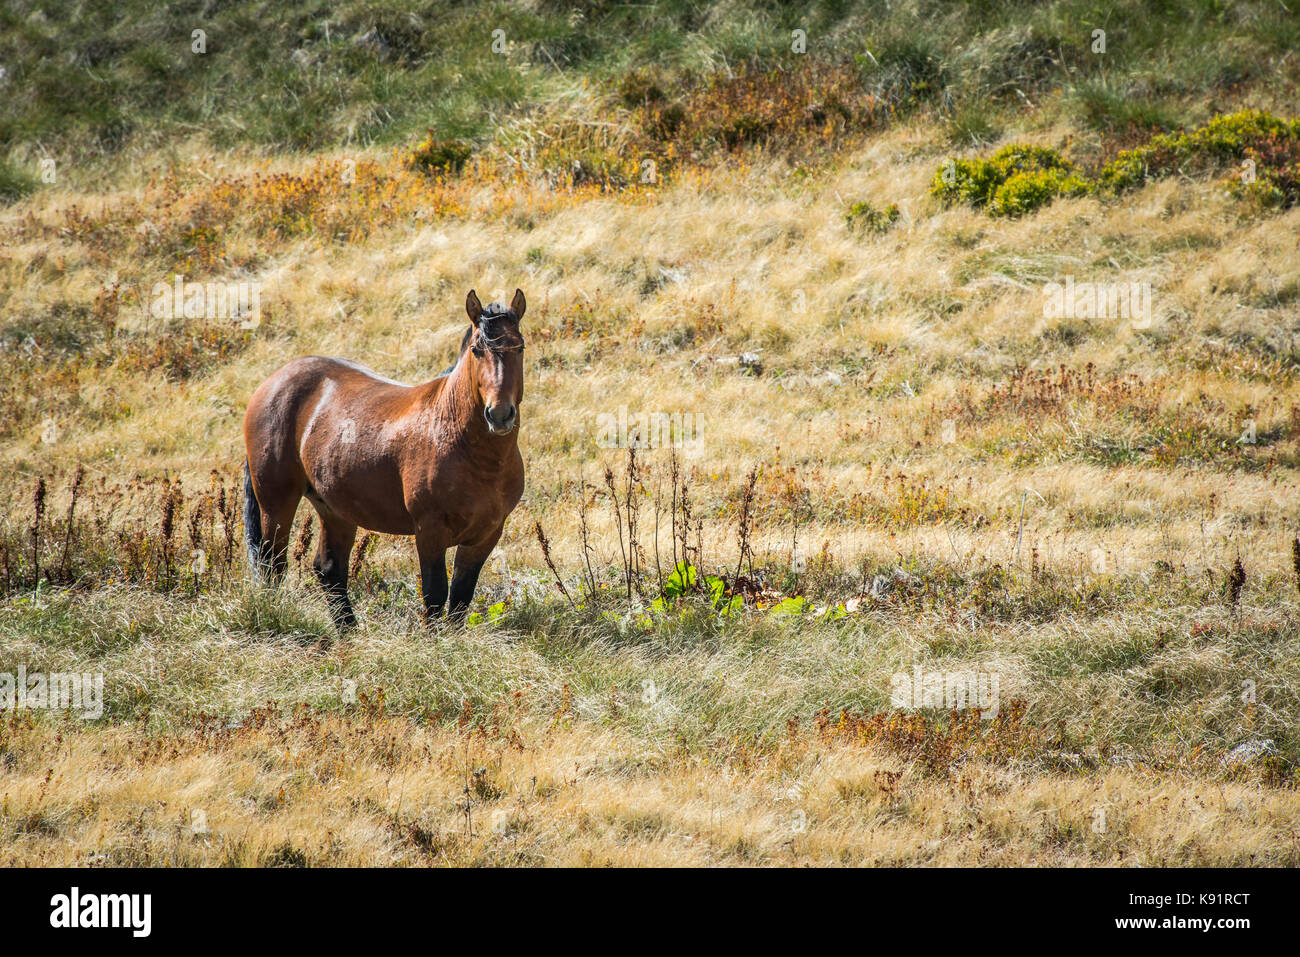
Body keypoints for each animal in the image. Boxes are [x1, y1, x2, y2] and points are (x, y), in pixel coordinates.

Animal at [241, 287, 525, 624]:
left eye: (519, 347)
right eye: (476, 349)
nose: (500, 414)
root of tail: (272, 382)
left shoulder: (486, 535)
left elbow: (459, 599)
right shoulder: (429, 532)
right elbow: (435, 596)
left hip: (335, 507)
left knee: (329, 570)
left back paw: (349, 631)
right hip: (276, 500)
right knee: (272, 564)